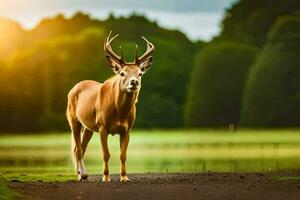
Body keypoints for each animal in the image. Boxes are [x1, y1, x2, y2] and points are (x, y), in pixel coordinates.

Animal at [66, 30, 155, 182]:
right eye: (122, 73)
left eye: (140, 73)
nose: (134, 82)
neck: (119, 112)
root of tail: (73, 88)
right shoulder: (102, 126)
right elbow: (106, 154)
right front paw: (105, 177)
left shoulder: (127, 130)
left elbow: (123, 155)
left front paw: (124, 177)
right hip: (74, 120)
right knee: (77, 149)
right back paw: (81, 175)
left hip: (88, 127)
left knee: (80, 148)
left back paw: (81, 174)